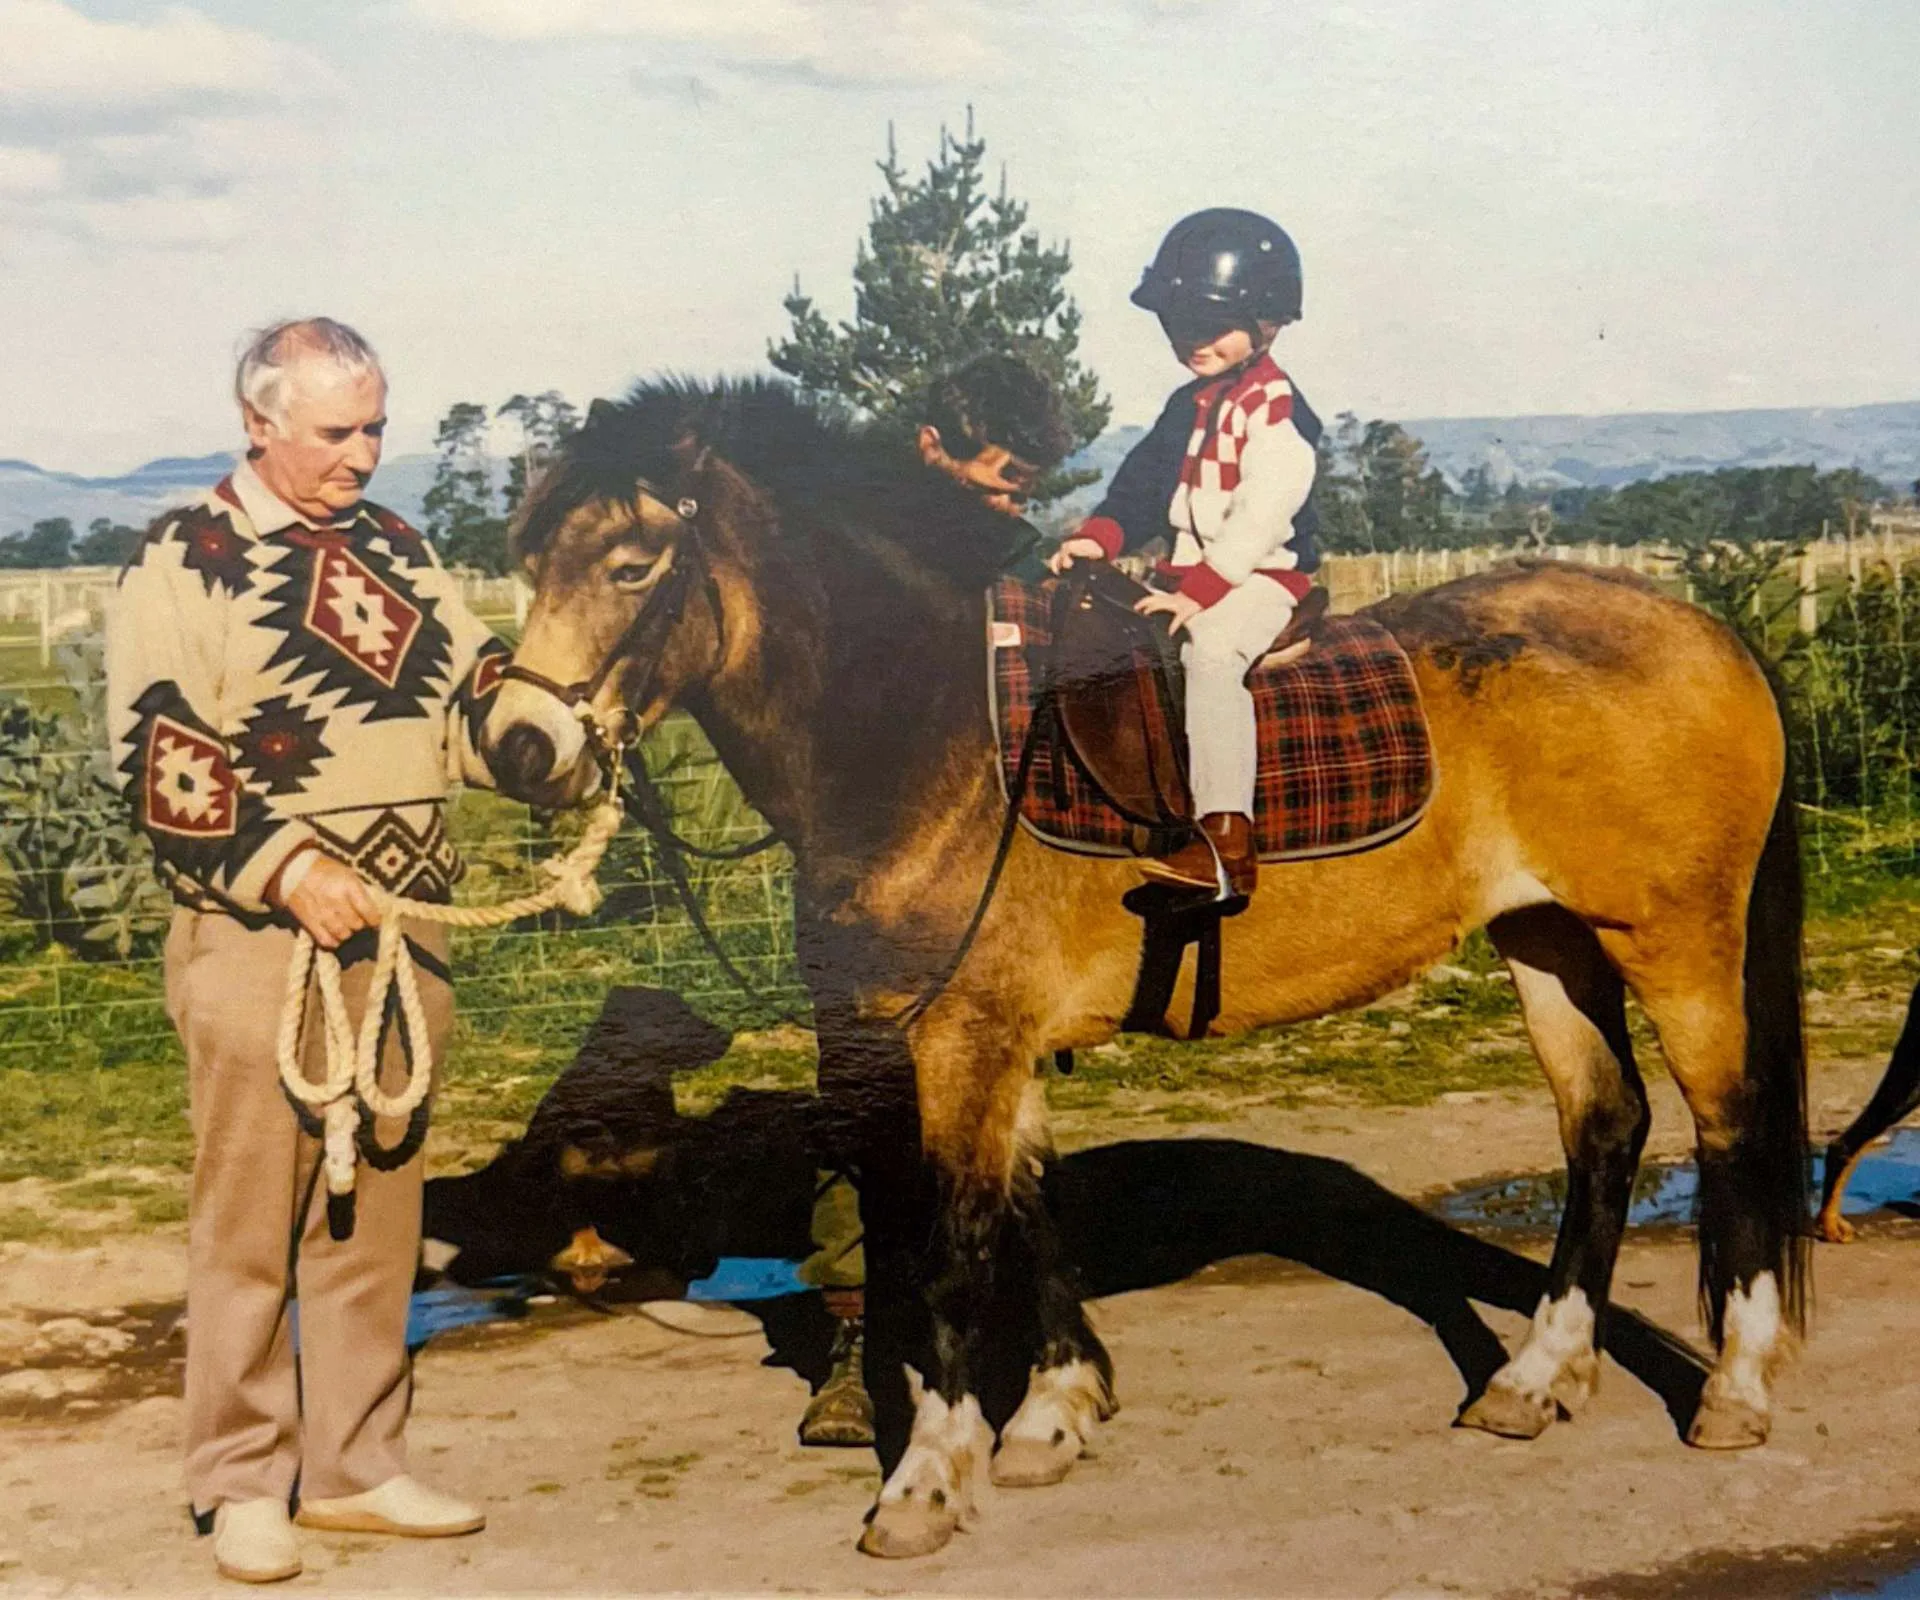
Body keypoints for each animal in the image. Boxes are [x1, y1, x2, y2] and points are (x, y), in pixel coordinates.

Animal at [480, 378, 1810, 1560]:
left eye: (632, 566)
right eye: (530, 557)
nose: (517, 746)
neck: (934, 732)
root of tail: (1702, 630)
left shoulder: (960, 1036)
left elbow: (957, 1245)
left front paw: (928, 1480)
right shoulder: (996, 1038)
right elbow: (1027, 1211)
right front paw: (1055, 1410)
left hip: (1676, 942)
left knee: (1732, 1125)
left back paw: (1738, 1388)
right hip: (1548, 939)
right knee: (1606, 1125)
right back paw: (1537, 1376)